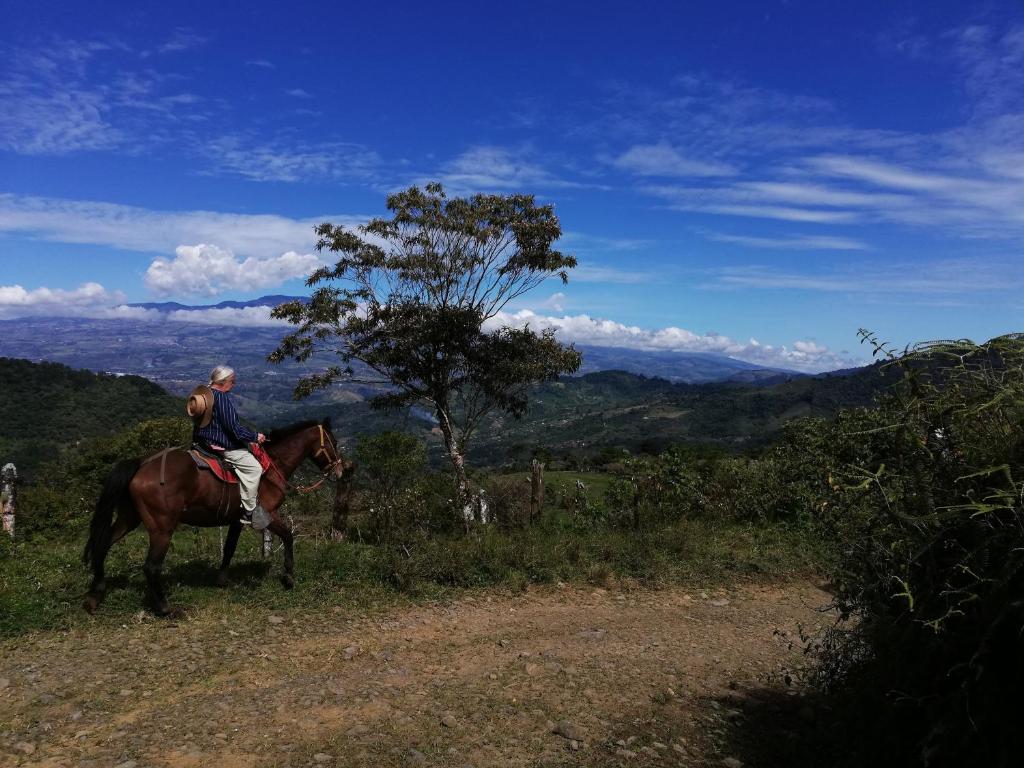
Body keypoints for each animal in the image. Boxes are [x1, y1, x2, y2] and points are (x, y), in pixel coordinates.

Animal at [80, 417, 352, 618]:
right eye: (333, 442)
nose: (339, 470)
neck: (271, 466)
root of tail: (141, 463)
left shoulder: (236, 519)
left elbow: (229, 547)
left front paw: (222, 579)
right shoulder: (267, 514)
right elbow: (288, 536)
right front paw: (288, 575)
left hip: (130, 517)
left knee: (103, 544)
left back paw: (94, 596)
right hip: (161, 528)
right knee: (151, 566)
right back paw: (166, 608)